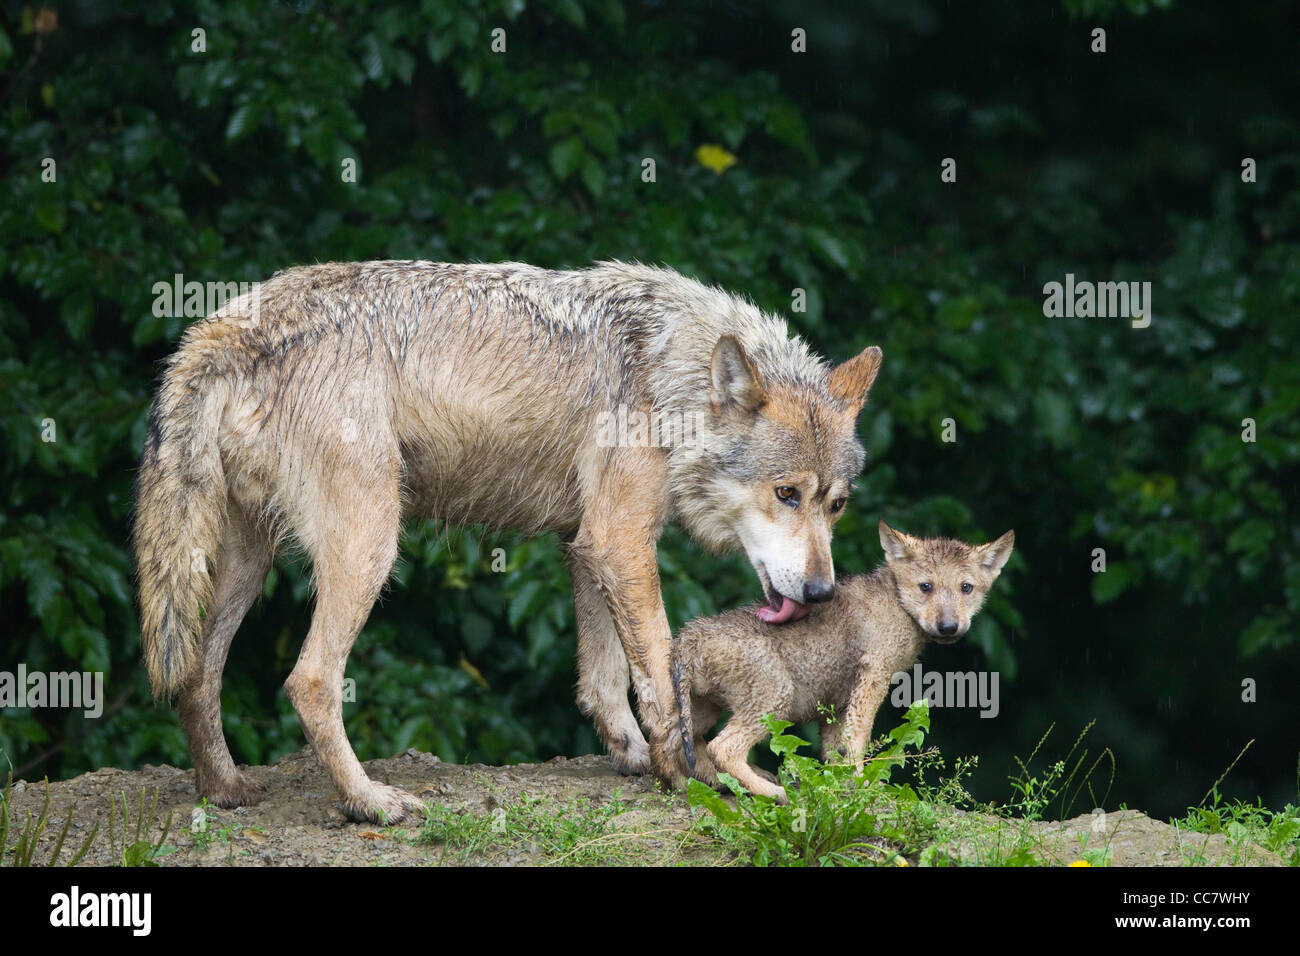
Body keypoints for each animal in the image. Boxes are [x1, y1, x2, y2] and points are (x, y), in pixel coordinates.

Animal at [131, 260, 883, 822]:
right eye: (786, 494)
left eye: (836, 505)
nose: (822, 592)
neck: (673, 380)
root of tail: (224, 325)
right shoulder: (620, 540)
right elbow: (658, 669)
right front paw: (680, 771)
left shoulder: (586, 544)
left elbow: (603, 680)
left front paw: (634, 757)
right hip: (372, 546)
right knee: (310, 680)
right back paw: (369, 803)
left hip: (245, 564)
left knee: (197, 672)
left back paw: (225, 791)